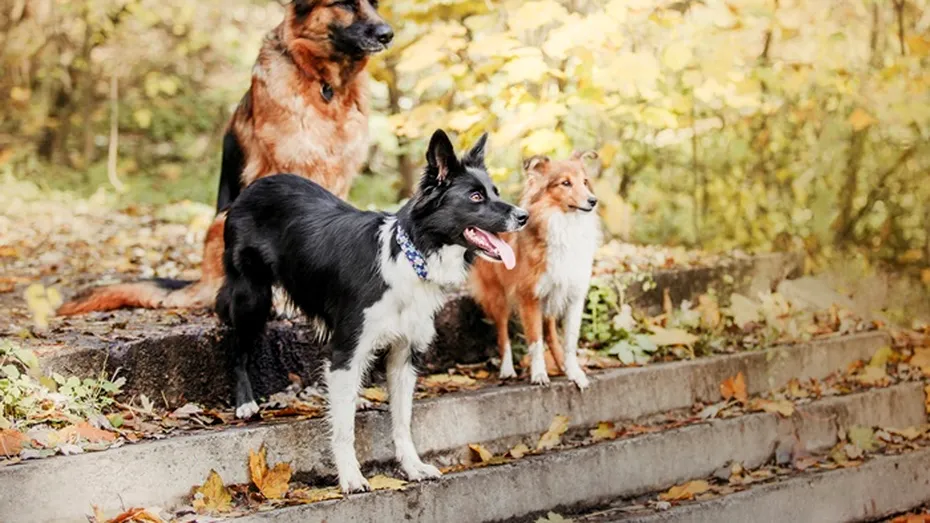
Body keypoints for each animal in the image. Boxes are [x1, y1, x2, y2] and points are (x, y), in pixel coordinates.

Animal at [57, 0, 392, 318]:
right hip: (224, 221)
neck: (326, 85)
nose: (387, 34)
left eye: (375, 4)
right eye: (345, 4)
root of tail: (199, 282)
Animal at [213, 129, 524, 494]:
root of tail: (253, 187)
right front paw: (350, 476)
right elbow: (344, 429)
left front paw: (413, 466)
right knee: (238, 347)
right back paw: (245, 402)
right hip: (252, 296)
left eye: (495, 192)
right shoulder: (350, 343)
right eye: (475, 197)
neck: (411, 257)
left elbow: (402, 421)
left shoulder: (405, 354)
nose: (524, 216)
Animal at [472, 150, 600, 388]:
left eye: (585, 181)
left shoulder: (573, 296)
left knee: (550, 333)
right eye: (565, 183)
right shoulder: (529, 297)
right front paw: (539, 374)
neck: (564, 225)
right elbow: (535, 340)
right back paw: (507, 370)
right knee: (503, 334)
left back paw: (561, 365)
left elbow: (569, 341)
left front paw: (574, 372)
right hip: (498, 297)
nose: (593, 201)